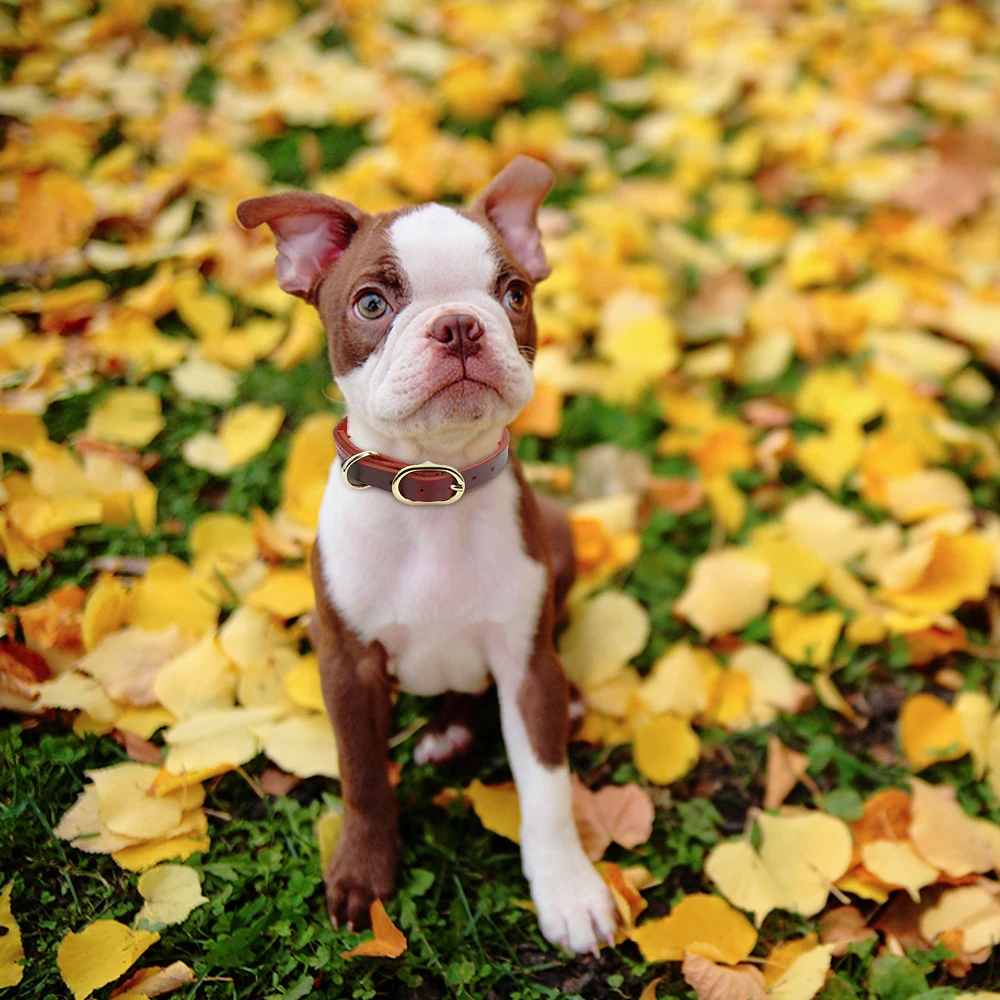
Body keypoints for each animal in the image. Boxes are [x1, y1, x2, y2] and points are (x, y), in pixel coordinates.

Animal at [237, 156, 616, 952]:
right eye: (372, 303)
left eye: (514, 294)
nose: (460, 325)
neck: (433, 487)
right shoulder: (347, 665)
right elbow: (362, 777)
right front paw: (361, 875)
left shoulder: (525, 666)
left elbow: (547, 790)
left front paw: (568, 892)